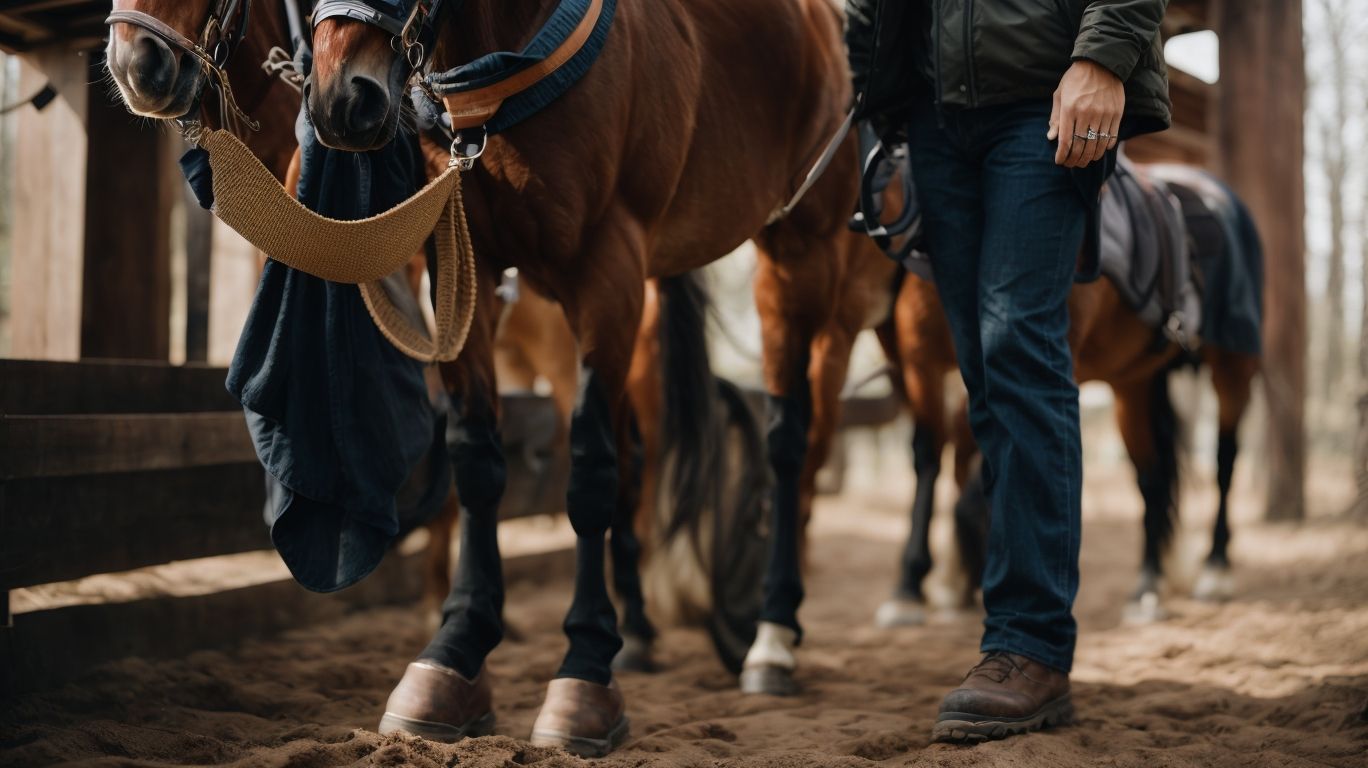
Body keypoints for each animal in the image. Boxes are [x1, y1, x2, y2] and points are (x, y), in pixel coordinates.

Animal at [308, 0, 861, 752]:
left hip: (800, 257)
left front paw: (586, 674)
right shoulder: (466, 265)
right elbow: (477, 462)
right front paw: (455, 654)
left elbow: (593, 472)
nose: (344, 99)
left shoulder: (608, 273)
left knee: (786, 443)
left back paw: (770, 638)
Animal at [873, 160, 1263, 627]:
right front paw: (914, 587)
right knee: (1150, 479)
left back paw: (1216, 568)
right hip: (1132, 386)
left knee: (1225, 459)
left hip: (1233, 367)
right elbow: (930, 462)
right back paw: (1146, 587)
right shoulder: (923, 368)